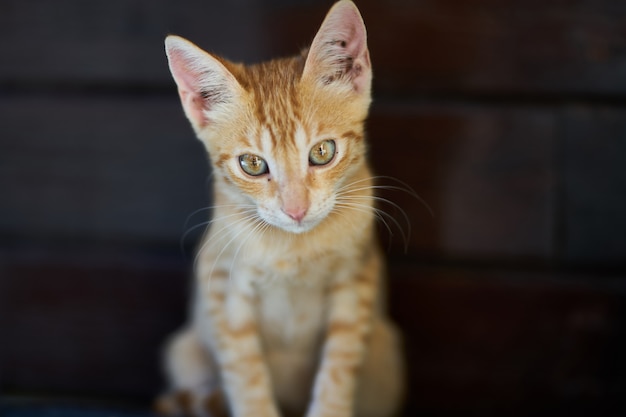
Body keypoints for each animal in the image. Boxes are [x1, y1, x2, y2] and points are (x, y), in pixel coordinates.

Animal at [156, 0, 404, 416]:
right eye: (253, 164)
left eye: (322, 152)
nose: (296, 210)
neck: (294, 250)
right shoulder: (223, 286)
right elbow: (245, 374)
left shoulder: (356, 280)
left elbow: (337, 373)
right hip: (183, 349)